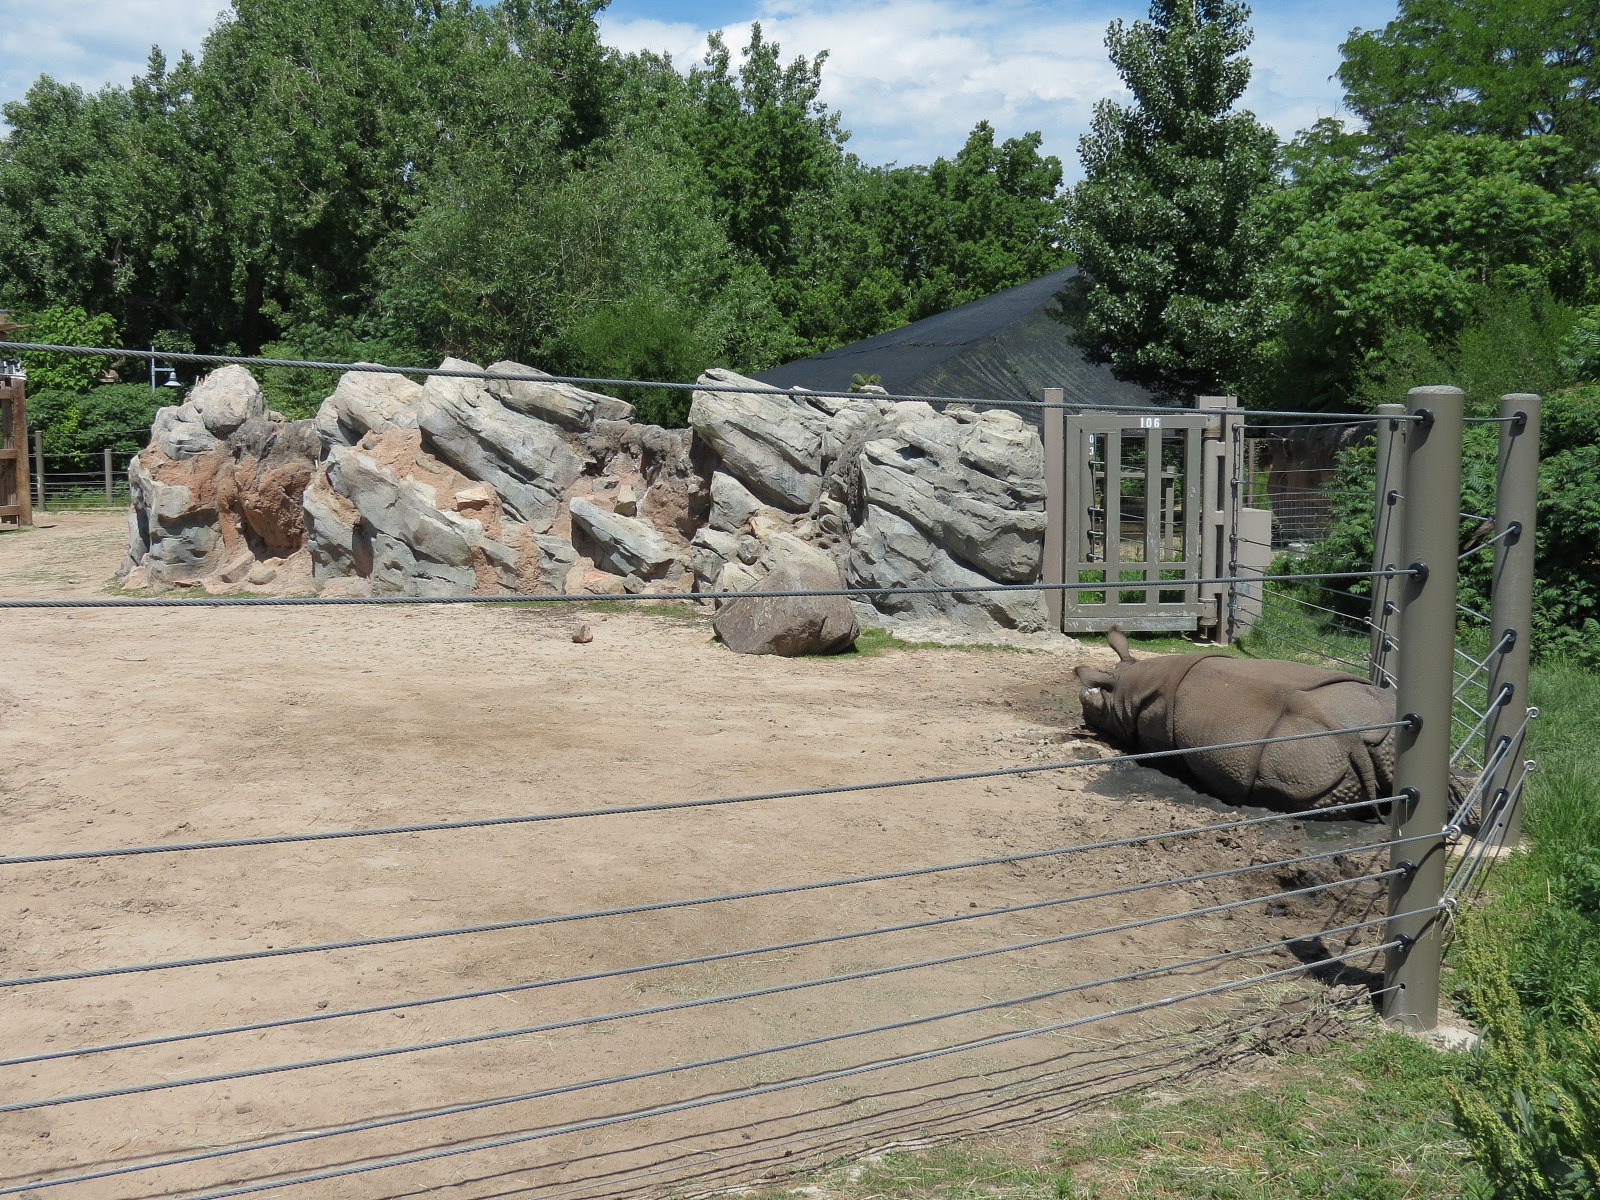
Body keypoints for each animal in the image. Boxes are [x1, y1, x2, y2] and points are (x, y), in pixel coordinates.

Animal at [1073, 627, 1399, 814]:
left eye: (1095, 709)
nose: (1083, 718)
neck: (1124, 687)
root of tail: (1352, 740)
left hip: (1296, 760)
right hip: (1373, 719)